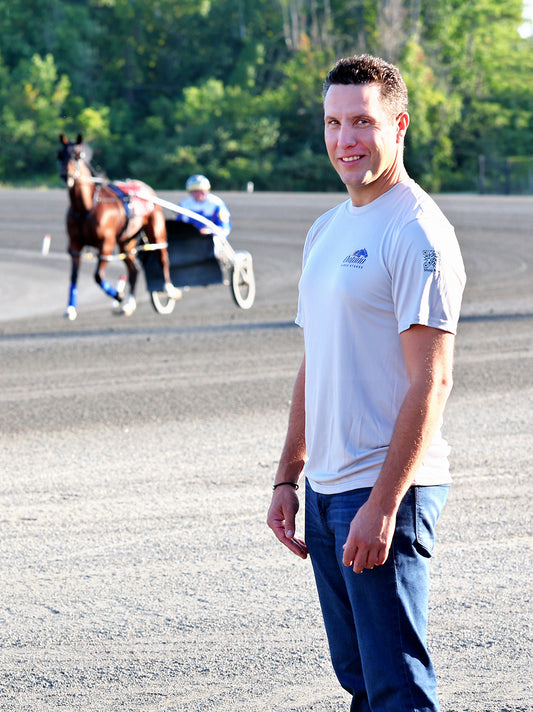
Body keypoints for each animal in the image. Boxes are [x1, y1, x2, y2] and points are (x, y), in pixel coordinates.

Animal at [57, 133, 180, 320]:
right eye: (60, 155)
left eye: (77, 155)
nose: (66, 175)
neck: (86, 208)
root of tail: (146, 188)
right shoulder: (75, 245)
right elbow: (74, 276)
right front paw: (70, 308)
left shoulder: (106, 244)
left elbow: (98, 276)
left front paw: (118, 295)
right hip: (126, 241)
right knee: (134, 270)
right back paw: (129, 304)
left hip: (156, 230)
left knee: (162, 257)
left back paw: (168, 290)